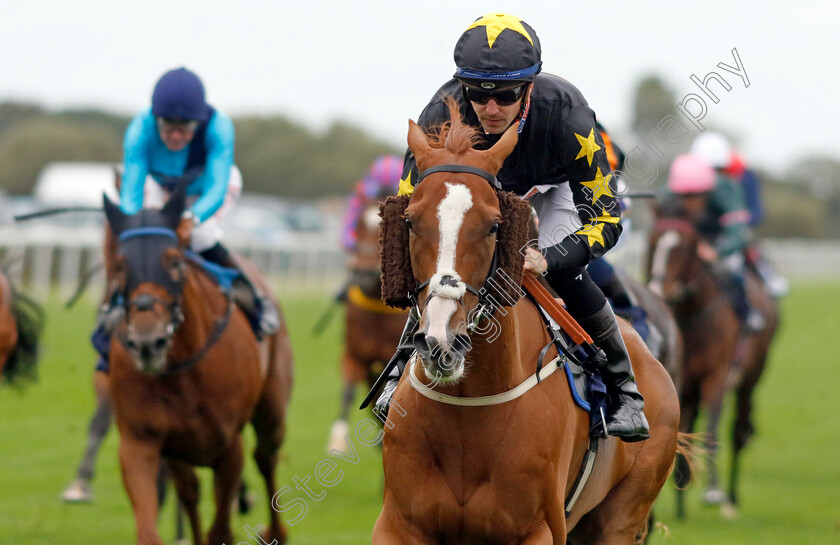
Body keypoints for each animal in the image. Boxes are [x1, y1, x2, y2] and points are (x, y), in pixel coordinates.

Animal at [102, 188, 296, 544]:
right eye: (120, 266)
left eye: (175, 261)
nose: (147, 342)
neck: (181, 369)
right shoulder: (140, 442)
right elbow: (152, 527)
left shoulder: (229, 446)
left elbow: (220, 528)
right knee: (189, 491)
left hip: (271, 409)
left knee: (266, 457)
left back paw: (275, 531)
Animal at [374, 104, 684, 540]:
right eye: (410, 221)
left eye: (493, 225)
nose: (441, 342)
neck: (466, 410)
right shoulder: (399, 525)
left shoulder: (537, 529)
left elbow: (604, 217)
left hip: (622, 515)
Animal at [648, 216, 780, 516]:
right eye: (653, 242)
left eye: (685, 247)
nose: (660, 291)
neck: (692, 315)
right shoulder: (682, 381)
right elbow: (682, 428)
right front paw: (680, 494)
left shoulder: (716, 375)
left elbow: (711, 428)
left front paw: (712, 491)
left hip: (750, 378)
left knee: (738, 431)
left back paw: (731, 496)